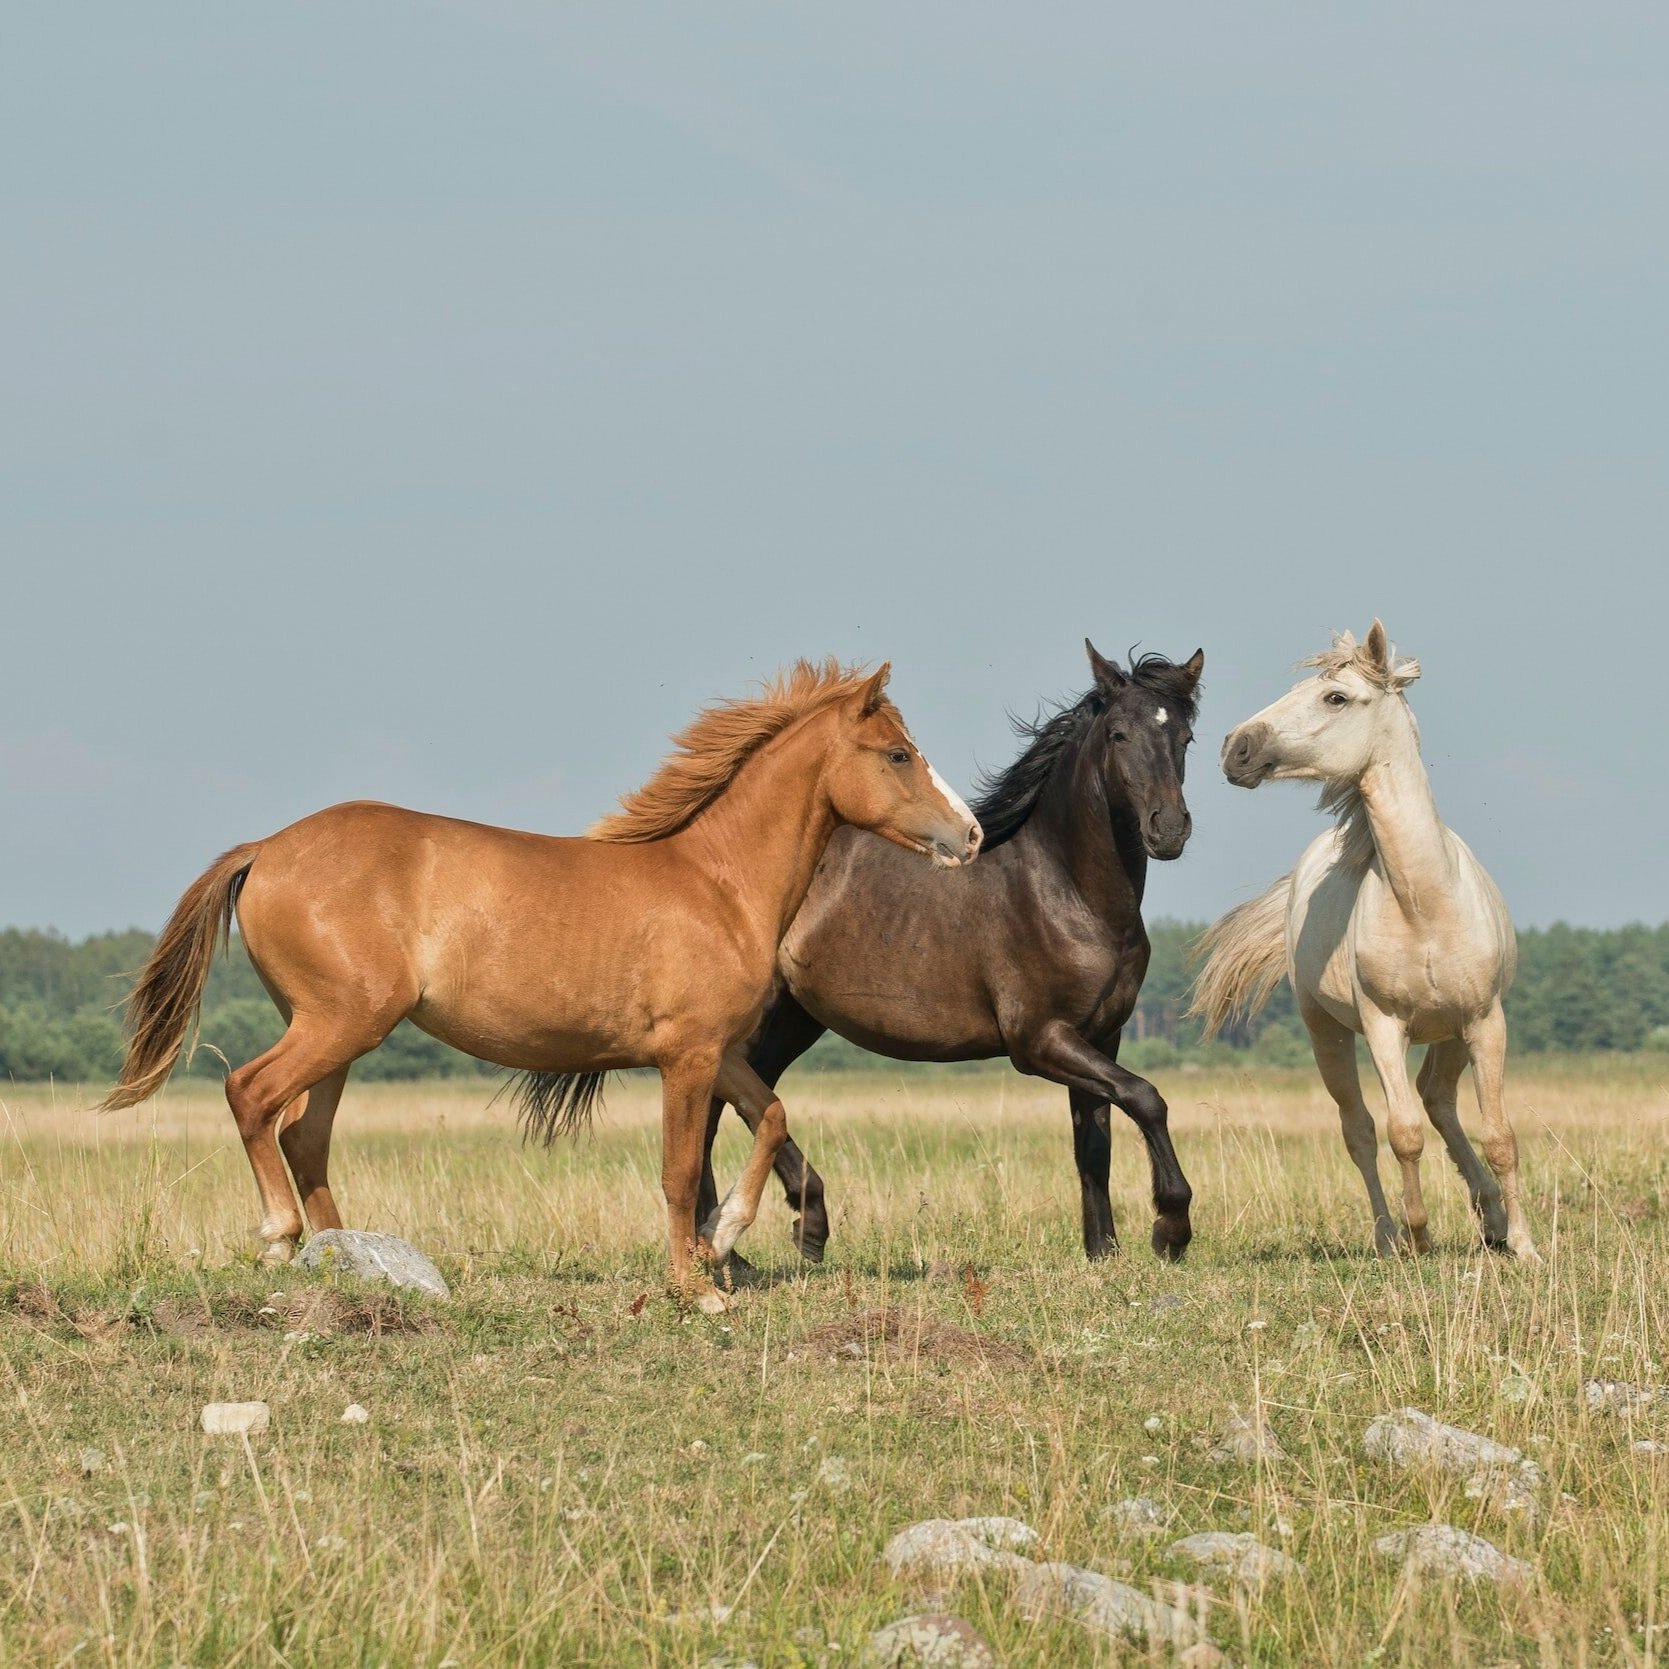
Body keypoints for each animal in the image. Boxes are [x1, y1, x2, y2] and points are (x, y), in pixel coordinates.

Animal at [100, 660, 982, 1311]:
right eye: (897, 753)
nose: (969, 834)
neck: (717, 882)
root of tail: (266, 847)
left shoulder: (719, 1050)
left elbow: (770, 1117)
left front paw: (724, 1237)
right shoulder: (686, 1058)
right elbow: (677, 1170)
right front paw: (694, 1285)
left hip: (338, 1034)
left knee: (303, 1134)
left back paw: (350, 1259)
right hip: (338, 1023)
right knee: (251, 1094)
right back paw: (282, 1238)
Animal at [696, 640, 1205, 1264]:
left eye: (1185, 737)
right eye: (1118, 734)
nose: (1169, 829)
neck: (1067, 892)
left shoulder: (1099, 1037)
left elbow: (1095, 1145)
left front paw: (1102, 1252)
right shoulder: (1039, 1041)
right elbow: (1146, 1097)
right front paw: (1170, 1228)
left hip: (793, 1019)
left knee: (748, 1100)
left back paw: (785, 1231)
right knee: (714, 1108)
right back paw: (738, 1244)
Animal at [1192, 621, 1537, 1261]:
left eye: (1336, 697)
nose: (1235, 748)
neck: (1425, 904)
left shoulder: (1485, 1022)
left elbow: (1500, 1134)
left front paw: (1525, 1247)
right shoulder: (1383, 1027)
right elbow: (1402, 1134)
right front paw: (1419, 1236)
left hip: (1452, 1033)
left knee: (1438, 1099)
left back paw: (1492, 1219)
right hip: (1325, 1031)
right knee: (1361, 1130)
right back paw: (1388, 1236)